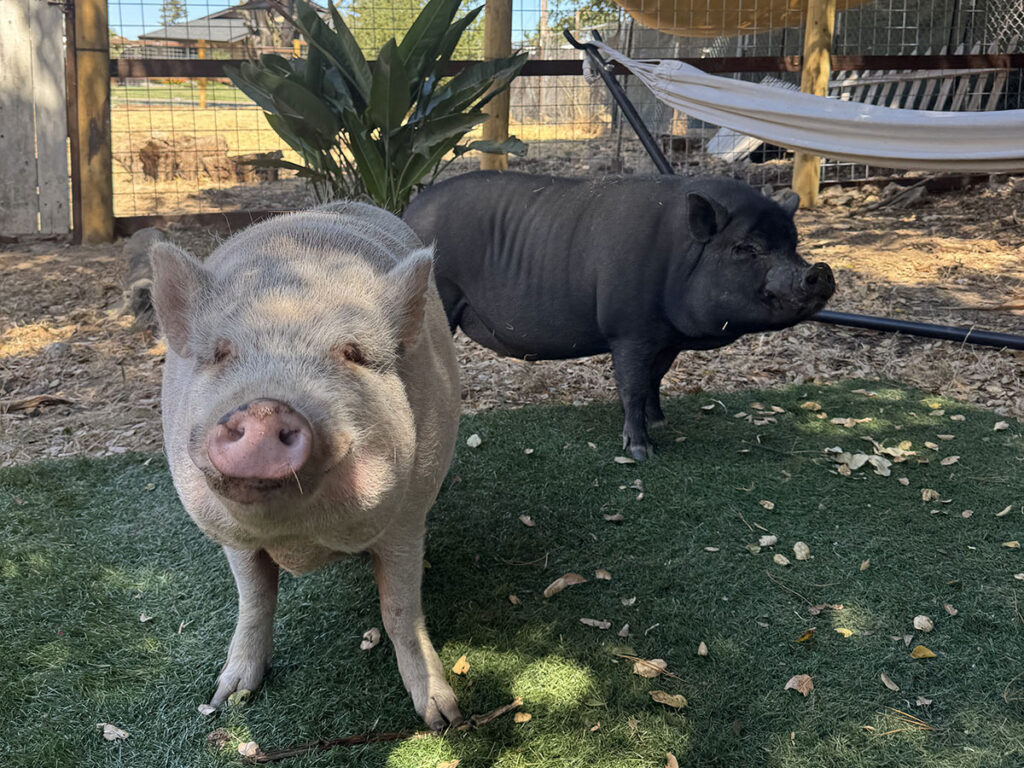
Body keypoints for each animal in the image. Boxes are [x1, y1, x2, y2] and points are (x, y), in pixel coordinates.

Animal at [151, 202, 462, 729]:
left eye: (352, 353)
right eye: (220, 353)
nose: (263, 409)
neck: (301, 539)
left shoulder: (407, 514)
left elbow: (400, 608)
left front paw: (444, 718)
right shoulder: (231, 536)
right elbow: (254, 599)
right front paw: (227, 698)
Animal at [404, 172, 835, 460]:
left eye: (793, 245)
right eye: (746, 249)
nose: (821, 271)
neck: (679, 257)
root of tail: (409, 211)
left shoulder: (667, 338)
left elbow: (655, 379)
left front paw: (661, 422)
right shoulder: (629, 331)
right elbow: (632, 385)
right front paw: (641, 451)